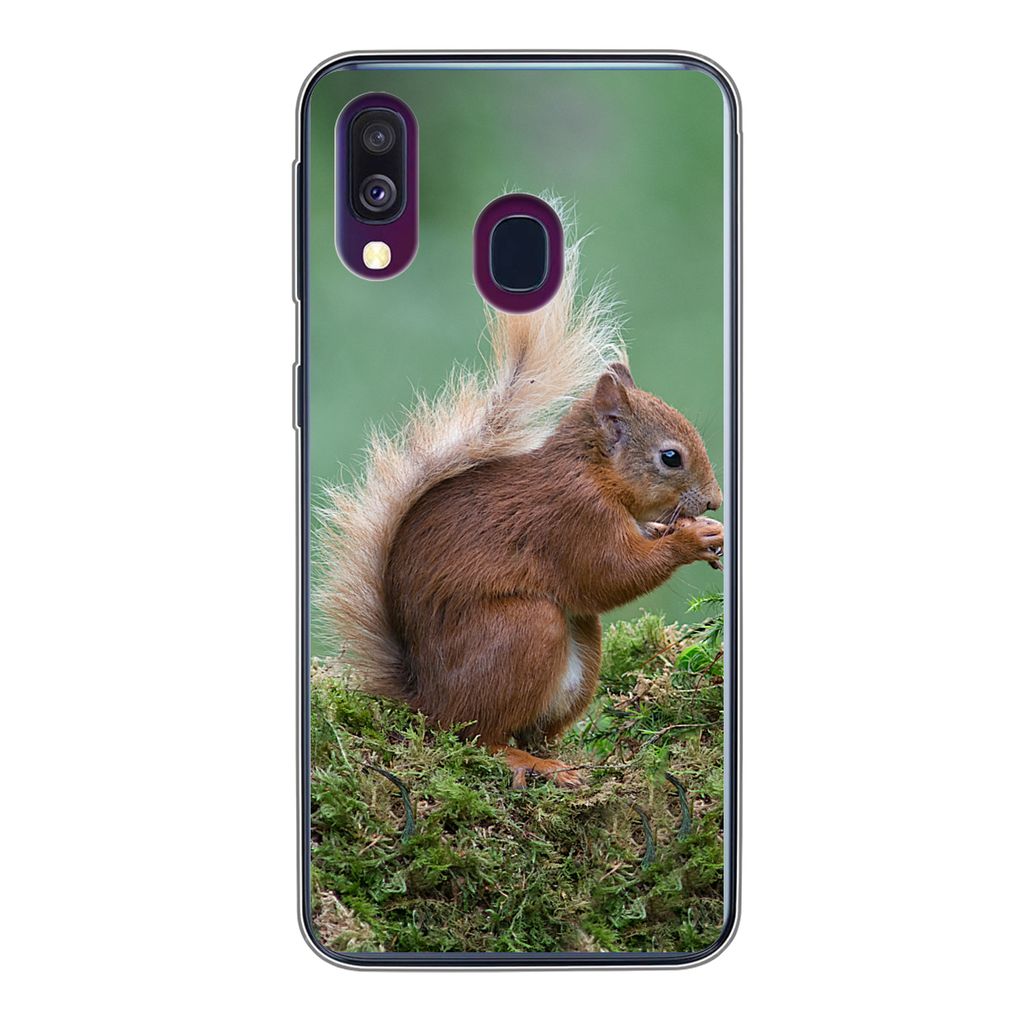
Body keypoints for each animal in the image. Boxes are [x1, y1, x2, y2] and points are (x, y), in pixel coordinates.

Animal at [319, 238, 723, 789]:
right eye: (670, 457)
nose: (715, 500)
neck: (593, 470)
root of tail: (426, 700)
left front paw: (697, 530)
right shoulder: (572, 517)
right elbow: (610, 574)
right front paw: (691, 539)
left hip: (580, 649)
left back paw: (557, 757)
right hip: (523, 630)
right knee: (477, 735)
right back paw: (527, 762)